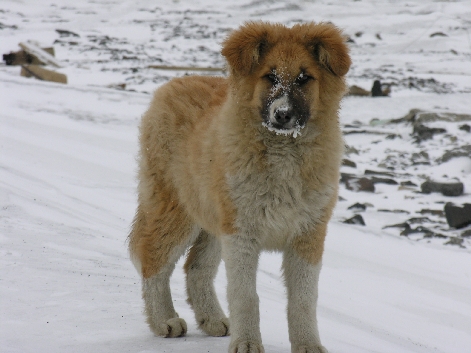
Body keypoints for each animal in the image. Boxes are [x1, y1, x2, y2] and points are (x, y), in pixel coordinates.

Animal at [129, 20, 350, 350]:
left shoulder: (307, 234)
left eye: (304, 78)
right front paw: (247, 344)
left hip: (212, 219)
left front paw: (308, 345)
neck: (283, 153)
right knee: (153, 259)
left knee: (196, 267)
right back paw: (164, 321)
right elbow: (246, 296)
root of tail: (171, 85)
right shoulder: (242, 232)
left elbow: (303, 300)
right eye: (269, 76)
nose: (283, 114)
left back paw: (212, 319)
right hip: (177, 210)